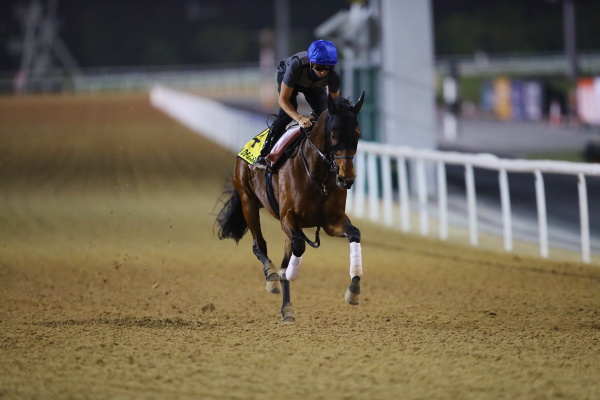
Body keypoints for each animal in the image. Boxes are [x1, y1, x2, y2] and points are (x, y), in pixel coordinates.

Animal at [217, 92, 366, 324]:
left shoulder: (331, 221)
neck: (317, 176)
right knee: (259, 245)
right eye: (334, 135)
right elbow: (298, 247)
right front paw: (286, 276)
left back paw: (286, 307)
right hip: (248, 201)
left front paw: (354, 289)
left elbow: (354, 234)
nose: (346, 178)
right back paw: (272, 277)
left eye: (357, 135)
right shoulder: (288, 218)